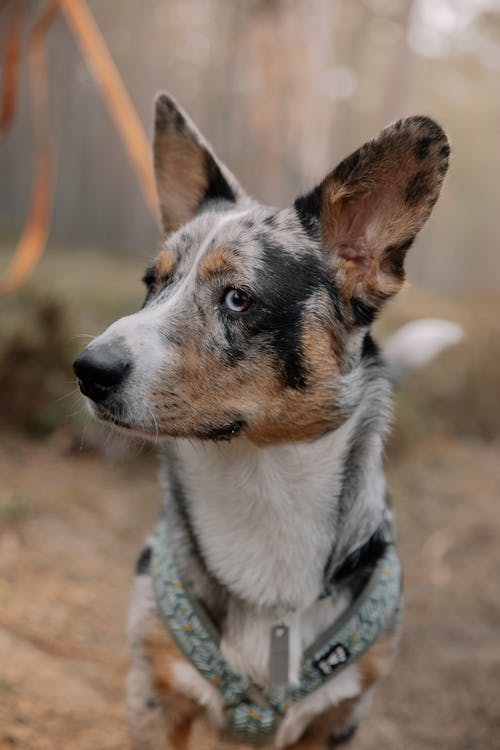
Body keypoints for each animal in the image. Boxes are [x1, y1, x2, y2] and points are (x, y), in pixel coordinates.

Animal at [73, 95, 450, 750]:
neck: (261, 482)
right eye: (152, 284)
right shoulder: (154, 695)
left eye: (238, 298)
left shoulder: (339, 717)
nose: (88, 370)